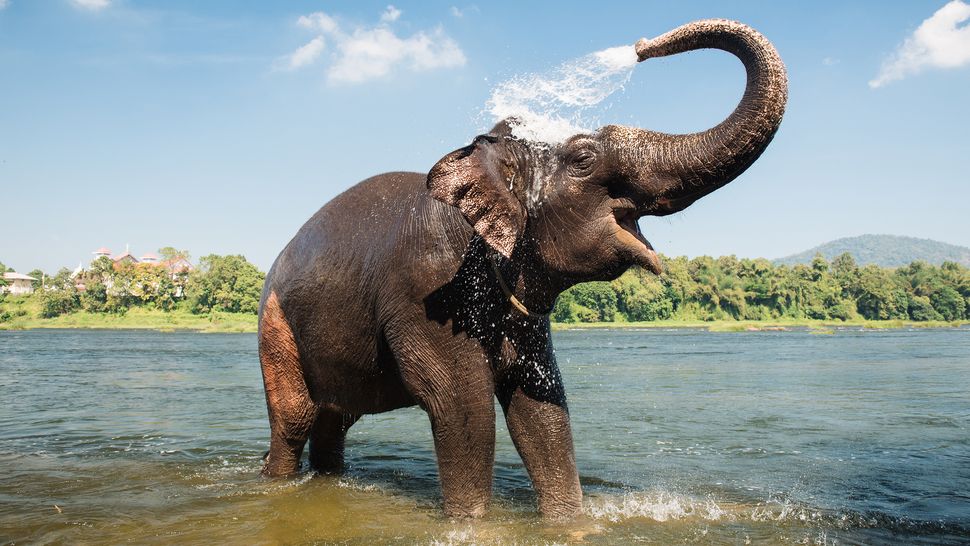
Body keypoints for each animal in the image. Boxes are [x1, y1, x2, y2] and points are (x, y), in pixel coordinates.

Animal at [258, 19, 788, 516]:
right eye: (583, 158)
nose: (641, 46)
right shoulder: (427, 290)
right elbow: (463, 407)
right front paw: (470, 523)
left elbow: (540, 408)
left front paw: (570, 522)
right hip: (275, 327)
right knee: (295, 421)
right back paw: (277, 481)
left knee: (335, 420)